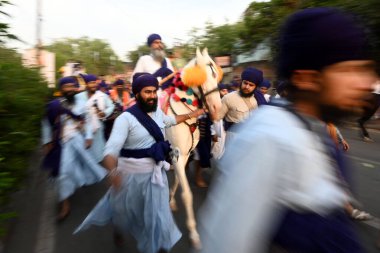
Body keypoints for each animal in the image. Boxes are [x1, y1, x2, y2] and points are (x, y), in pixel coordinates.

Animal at [164, 48, 223, 249]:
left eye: (216, 75)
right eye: (202, 77)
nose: (217, 109)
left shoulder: (184, 154)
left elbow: (176, 180)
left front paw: (171, 201)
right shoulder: (177, 154)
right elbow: (187, 195)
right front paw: (194, 234)